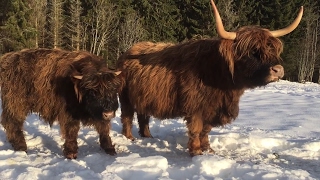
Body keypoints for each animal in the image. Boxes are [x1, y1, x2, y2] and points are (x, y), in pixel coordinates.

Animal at [116, 0, 304, 156]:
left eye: (271, 49)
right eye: (252, 52)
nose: (278, 70)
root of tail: (126, 53)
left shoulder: (213, 108)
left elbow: (206, 130)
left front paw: (208, 149)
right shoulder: (195, 107)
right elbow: (196, 129)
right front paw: (196, 152)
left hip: (143, 96)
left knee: (143, 116)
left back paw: (148, 136)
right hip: (125, 97)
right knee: (127, 116)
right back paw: (130, 138)